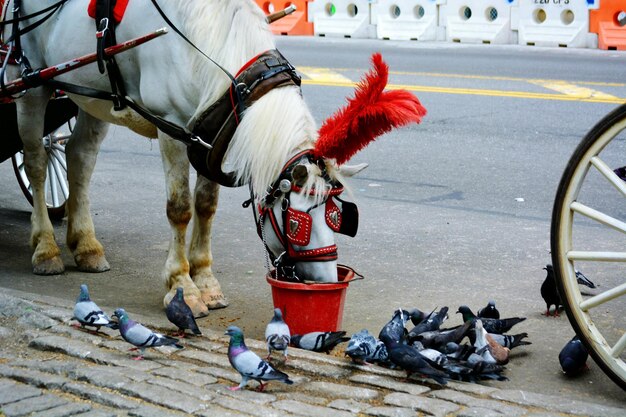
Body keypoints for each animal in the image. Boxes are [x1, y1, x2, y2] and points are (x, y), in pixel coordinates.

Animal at [3, 0, 424, 316]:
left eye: (338, 216)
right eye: (296, 221)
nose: (324, 281)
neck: (206, 40)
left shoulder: (210, 136)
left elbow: (206, 206)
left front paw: (206, 280)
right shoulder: (171, 128)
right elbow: (180, 210)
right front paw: (182, 287)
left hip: (92, 95)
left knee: (80, 158)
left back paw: (86, 245)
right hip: (30, 84)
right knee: (37, 161)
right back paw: (45, 247)